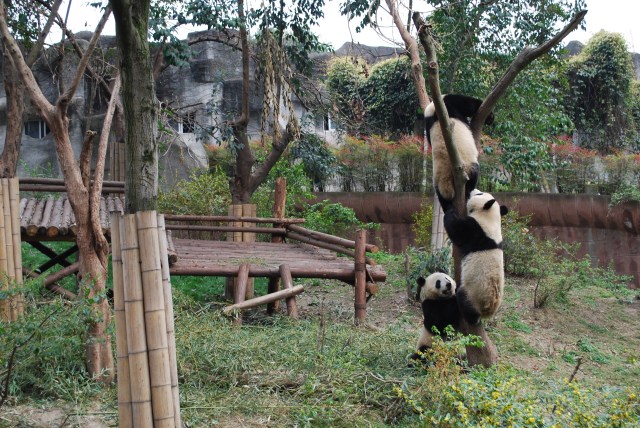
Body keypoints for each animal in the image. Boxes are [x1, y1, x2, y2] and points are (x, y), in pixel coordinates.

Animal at [442, 189, 508, 325]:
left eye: (479, 194)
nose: (474, 191)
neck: (491, 218)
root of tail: (488, 311)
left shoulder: (475, 230)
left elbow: (455, 229)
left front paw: (450, 209)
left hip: (473, 295)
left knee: (464, 300)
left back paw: (470, 317)